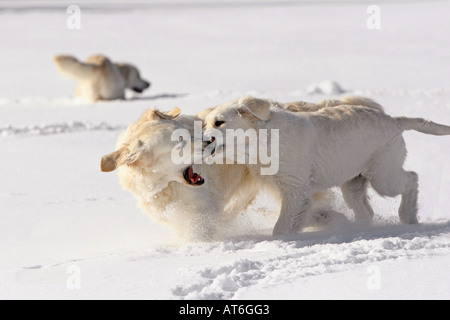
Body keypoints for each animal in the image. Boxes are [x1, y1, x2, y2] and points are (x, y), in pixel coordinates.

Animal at [204, 96, 450, 236]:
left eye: (219, 122)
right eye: (205, 123)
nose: (203, 140)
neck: (261, 140)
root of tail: (394, 120)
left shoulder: (295, 188)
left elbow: (282, 225)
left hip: (383, 176)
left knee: (412, 178)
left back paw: (407, 216)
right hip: (354, 183)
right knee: (366, 211)